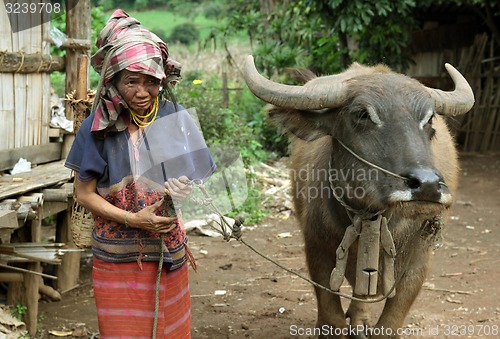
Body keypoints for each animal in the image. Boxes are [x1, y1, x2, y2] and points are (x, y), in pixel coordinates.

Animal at [244, 57, 474, 338]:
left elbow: (390, 321)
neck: (369, 216)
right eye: (363, 114)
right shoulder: (316, 249)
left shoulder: (419, 260)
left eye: (429, 119)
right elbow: (331, 314)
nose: (427, 185)